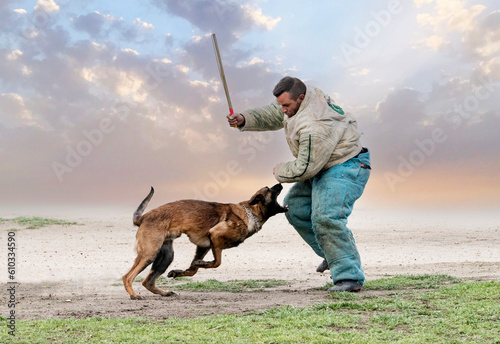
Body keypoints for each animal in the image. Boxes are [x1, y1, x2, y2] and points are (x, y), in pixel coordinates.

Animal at [122, 183, 290, 298]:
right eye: (269, 189)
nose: (279, 184)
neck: (250, 212)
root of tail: (143, 217)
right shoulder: (215, 236)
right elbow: (217, 262)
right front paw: (201, 263)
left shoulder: (204, 246)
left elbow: (193, 269)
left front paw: (183, 270)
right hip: (149, 253)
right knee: (127, 276)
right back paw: (134, 295)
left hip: (166, 256)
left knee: (147, 281)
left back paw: (164, 292)